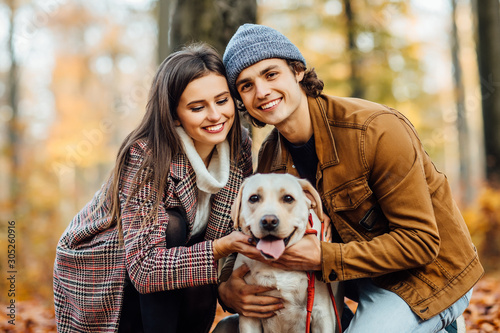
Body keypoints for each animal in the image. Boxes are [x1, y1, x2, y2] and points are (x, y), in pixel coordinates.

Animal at [231, 172, 344, 332]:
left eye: (288, 198)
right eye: (254, 198)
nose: (269, 221)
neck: (276, 264)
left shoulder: (322, 314)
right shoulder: (250, 314)